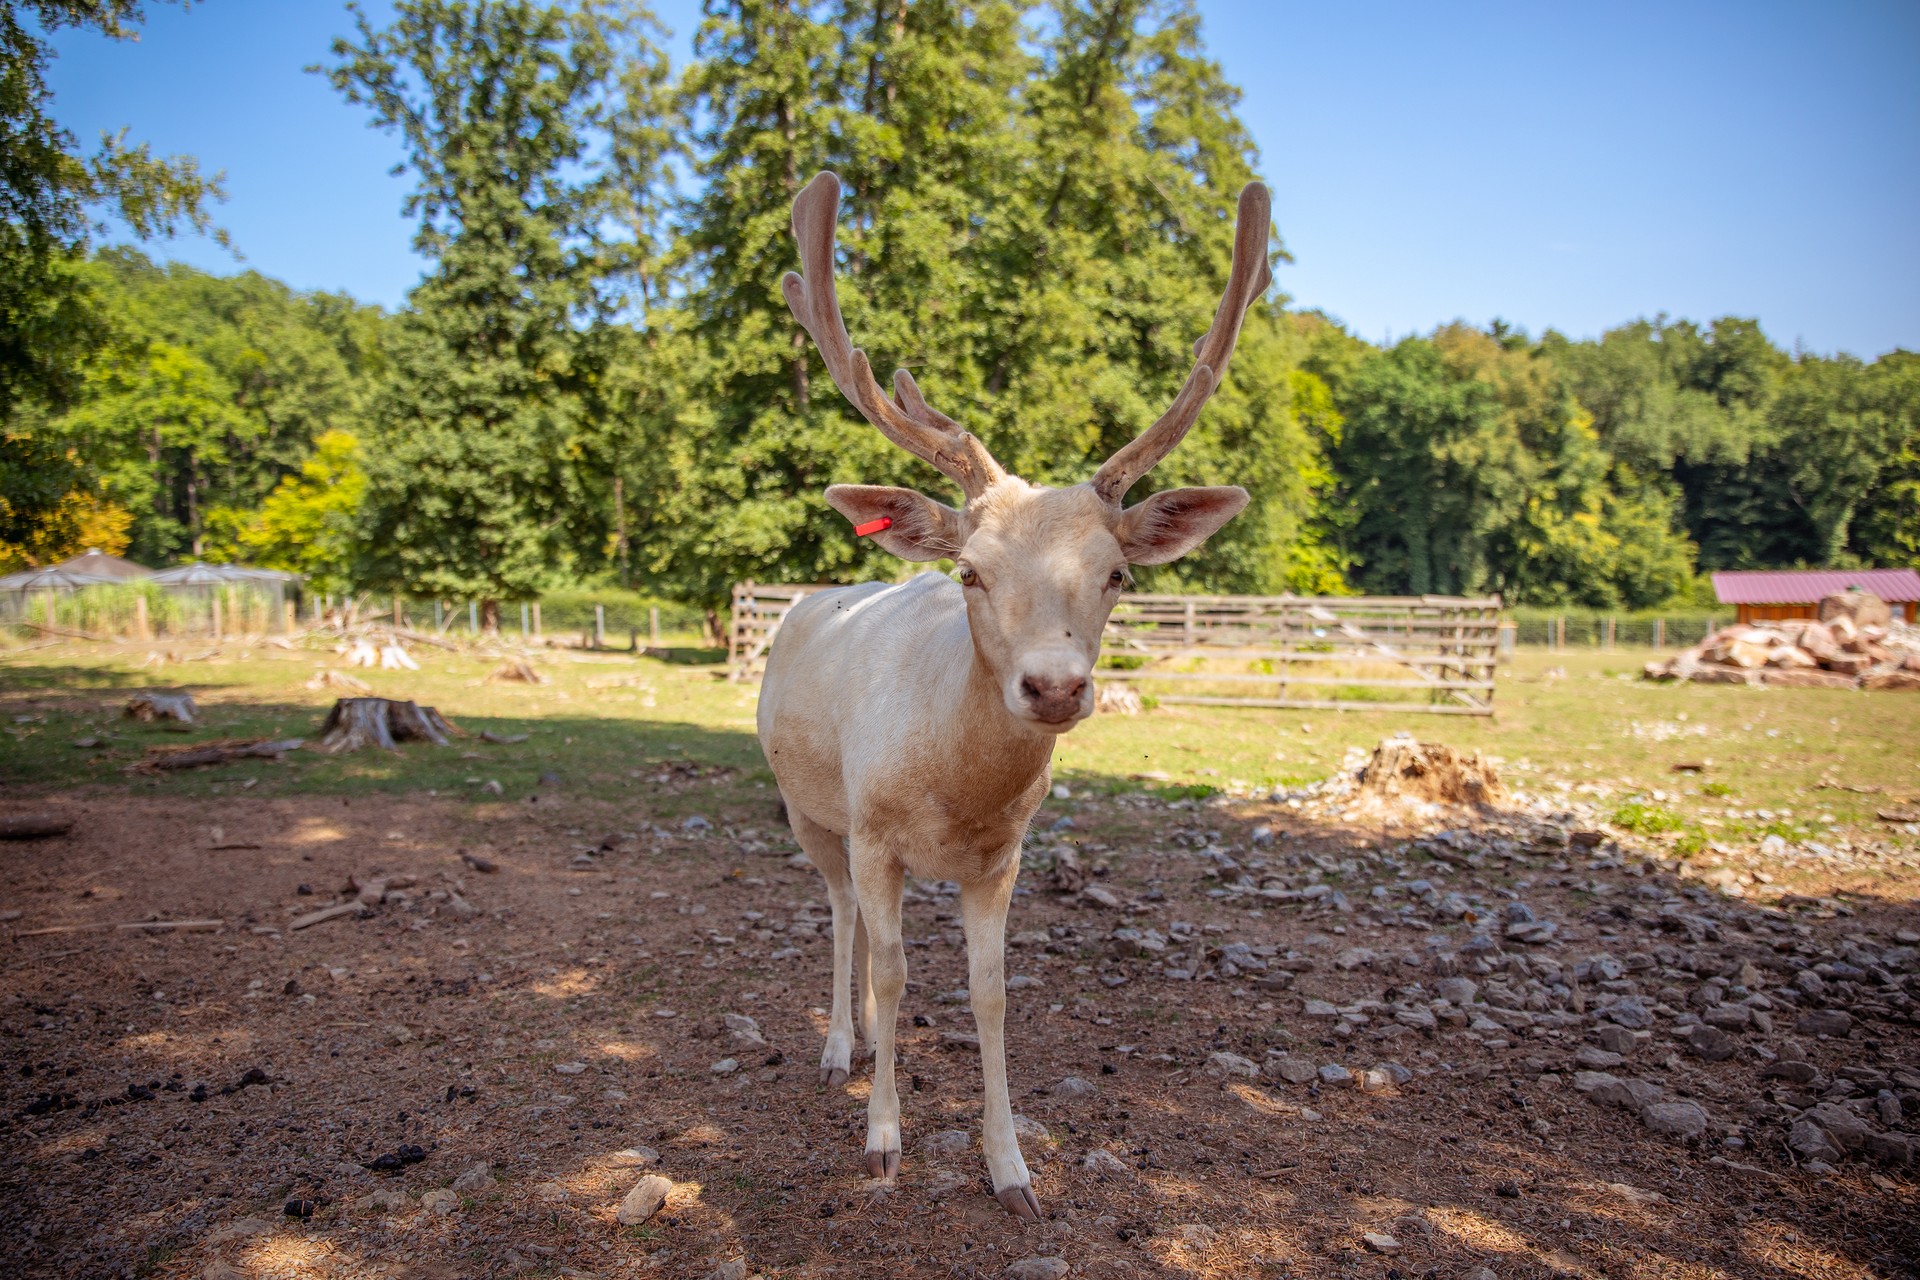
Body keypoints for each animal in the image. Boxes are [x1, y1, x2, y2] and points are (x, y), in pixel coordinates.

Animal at [756, 171, 1272, 1220]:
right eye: (971, 571)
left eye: (1117, 574)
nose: (1054, 685)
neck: (955, 798)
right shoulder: (874, 830)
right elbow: (895, 974)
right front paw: (883, 1145)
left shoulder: (1002, 857)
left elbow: (990, 991)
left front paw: (1011, 1169)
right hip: (806, 807)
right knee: (840, 913)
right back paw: (838, 1047)